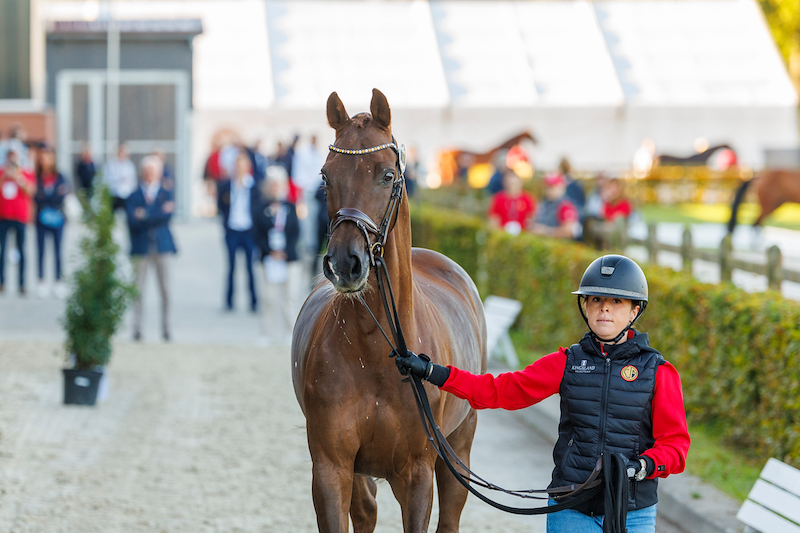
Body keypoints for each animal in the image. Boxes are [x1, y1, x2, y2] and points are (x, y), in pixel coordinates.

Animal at [291, 88, 487, 533]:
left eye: (386, 175)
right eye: (326, 175)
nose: (345, 263)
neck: (375, 352)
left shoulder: (417, 474)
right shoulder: (332, 468)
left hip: (460, 445)